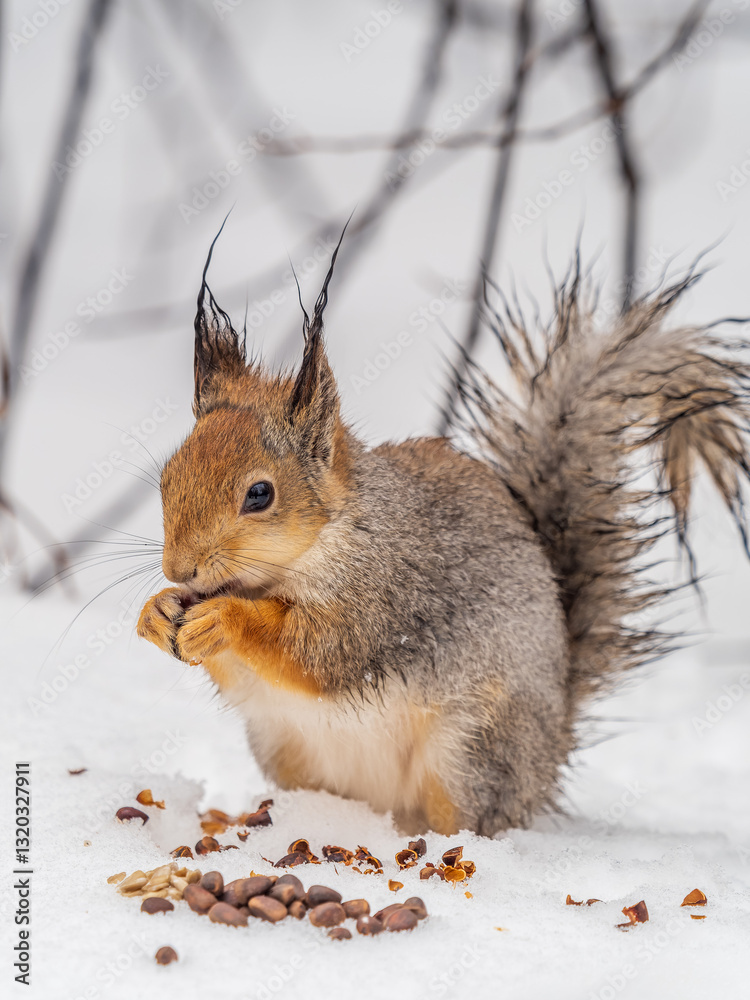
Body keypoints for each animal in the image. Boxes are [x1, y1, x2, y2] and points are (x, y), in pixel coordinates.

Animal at [137, 235, 750, 837]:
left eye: (260, 494)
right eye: (167, 478)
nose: (179, 569)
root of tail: (548, 758)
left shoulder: (386, 596)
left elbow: (319, 653)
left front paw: (224, 618)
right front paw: (157, 611)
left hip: (469, 750)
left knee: (470, 814)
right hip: (282, 745)